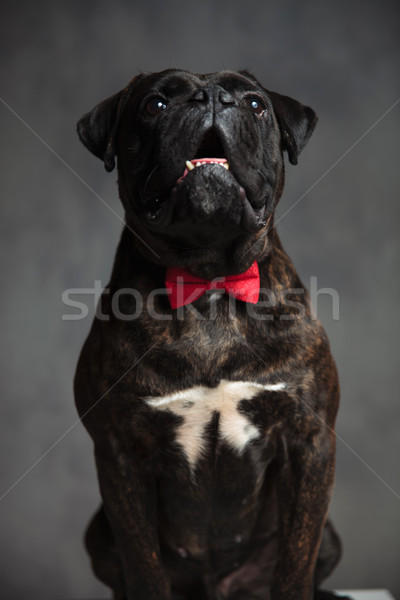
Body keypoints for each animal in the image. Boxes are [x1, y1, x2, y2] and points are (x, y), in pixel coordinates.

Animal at [74, 69, 346, 600]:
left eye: (256, 104)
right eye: (155, 103)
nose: (212, 97)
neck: (208, 283)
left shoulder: (310, 443)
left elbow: (295, 563)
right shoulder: (118, 454)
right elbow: (144, 567)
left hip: (329, 535)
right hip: (98, 531)